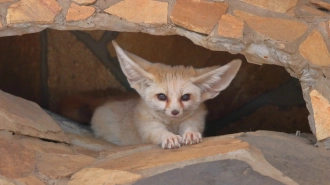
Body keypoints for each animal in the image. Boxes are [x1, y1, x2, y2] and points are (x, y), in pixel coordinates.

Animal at [91, 41, 241, 149]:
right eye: (162, 97)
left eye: (185, 97)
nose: (175, 111)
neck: (172, 124)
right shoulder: (147, 126)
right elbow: (159, 132)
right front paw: (169, 137)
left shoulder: (195, 120)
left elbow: (190, 127)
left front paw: (191, 134)